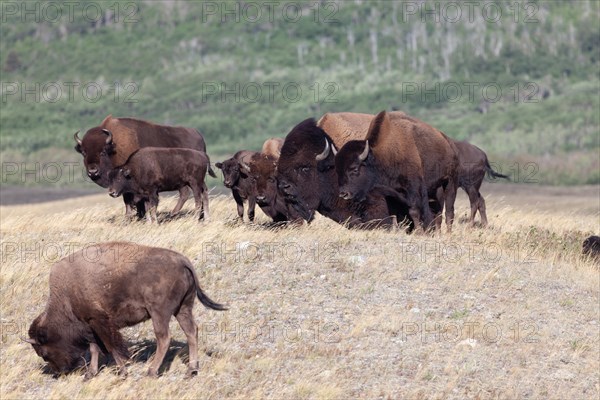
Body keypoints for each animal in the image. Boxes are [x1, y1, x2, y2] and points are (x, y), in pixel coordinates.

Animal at [25, 241, 229, 378]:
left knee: (164, 338)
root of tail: (182, 260)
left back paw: (151, 372)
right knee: (191, 332)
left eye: (44, 353)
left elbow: (111, 347)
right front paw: (90, 374)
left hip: (159, 313)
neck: (66, 294)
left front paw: (122, 372)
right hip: (183, 308)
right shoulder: (91, 326)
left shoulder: (99, 323)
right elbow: (95, 349)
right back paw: (191, 370)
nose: (60, 372)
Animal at [74, 114, 216, 217]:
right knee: (187, 193)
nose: (93, 171)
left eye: (102, 151)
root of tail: (199, 136)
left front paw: (135, 216)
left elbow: (131, 200)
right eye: (84, 153)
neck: (115, 147)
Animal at [332, 111, 460, 233]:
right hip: (435, 188)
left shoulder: (414, 188)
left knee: (449, 211)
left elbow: (414, 211)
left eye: (355, 169)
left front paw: (419, 232)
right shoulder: (390, 194)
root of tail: (449, 143)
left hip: (450, 182)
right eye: (338, 170)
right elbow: (396, 215)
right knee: (438, 212)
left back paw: (448, 233)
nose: (343, 194)